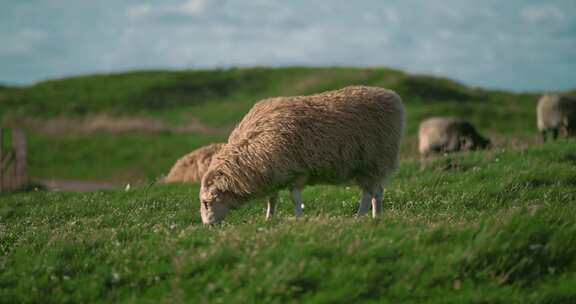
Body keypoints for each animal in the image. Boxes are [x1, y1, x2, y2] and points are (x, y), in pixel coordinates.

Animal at [198, 85, 404, 223]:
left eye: (207, 203)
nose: (207, 226)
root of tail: (392, 97)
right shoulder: (273, 175)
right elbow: (272, 199)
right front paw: (269, 219)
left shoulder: (295, 172)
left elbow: (295, 199)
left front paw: (297, 219)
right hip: (370, 167)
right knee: (377, 192)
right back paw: (376, 217)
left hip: (372, 162)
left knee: (368, 194)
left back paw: (360, 217)